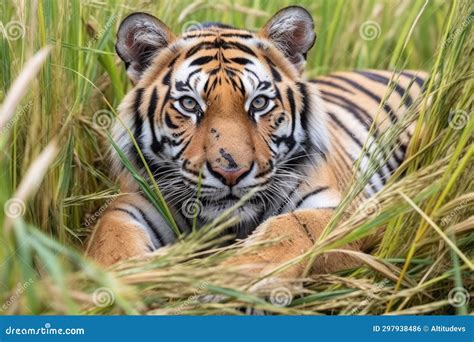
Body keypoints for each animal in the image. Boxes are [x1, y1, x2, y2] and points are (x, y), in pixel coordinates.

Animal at [85, 5, 426, 278]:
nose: (231, 173)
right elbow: (110, 238)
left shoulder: (348, 211)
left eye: (259, 103)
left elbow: (292, 227)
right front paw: (124, 284)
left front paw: (236, 283)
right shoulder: (134, 203)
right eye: (190, 105)